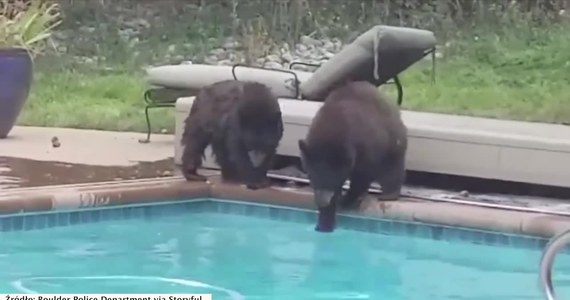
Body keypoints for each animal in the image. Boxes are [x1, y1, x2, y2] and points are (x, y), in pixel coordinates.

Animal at [296, 80, 406, 232]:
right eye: (312, 177)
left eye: (332, 178)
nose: (323, 201)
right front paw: (324, 222)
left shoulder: (364, 150)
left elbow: (361, 177)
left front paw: (346, 200)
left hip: (392, 144)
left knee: (392, 169)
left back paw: (388, 194)